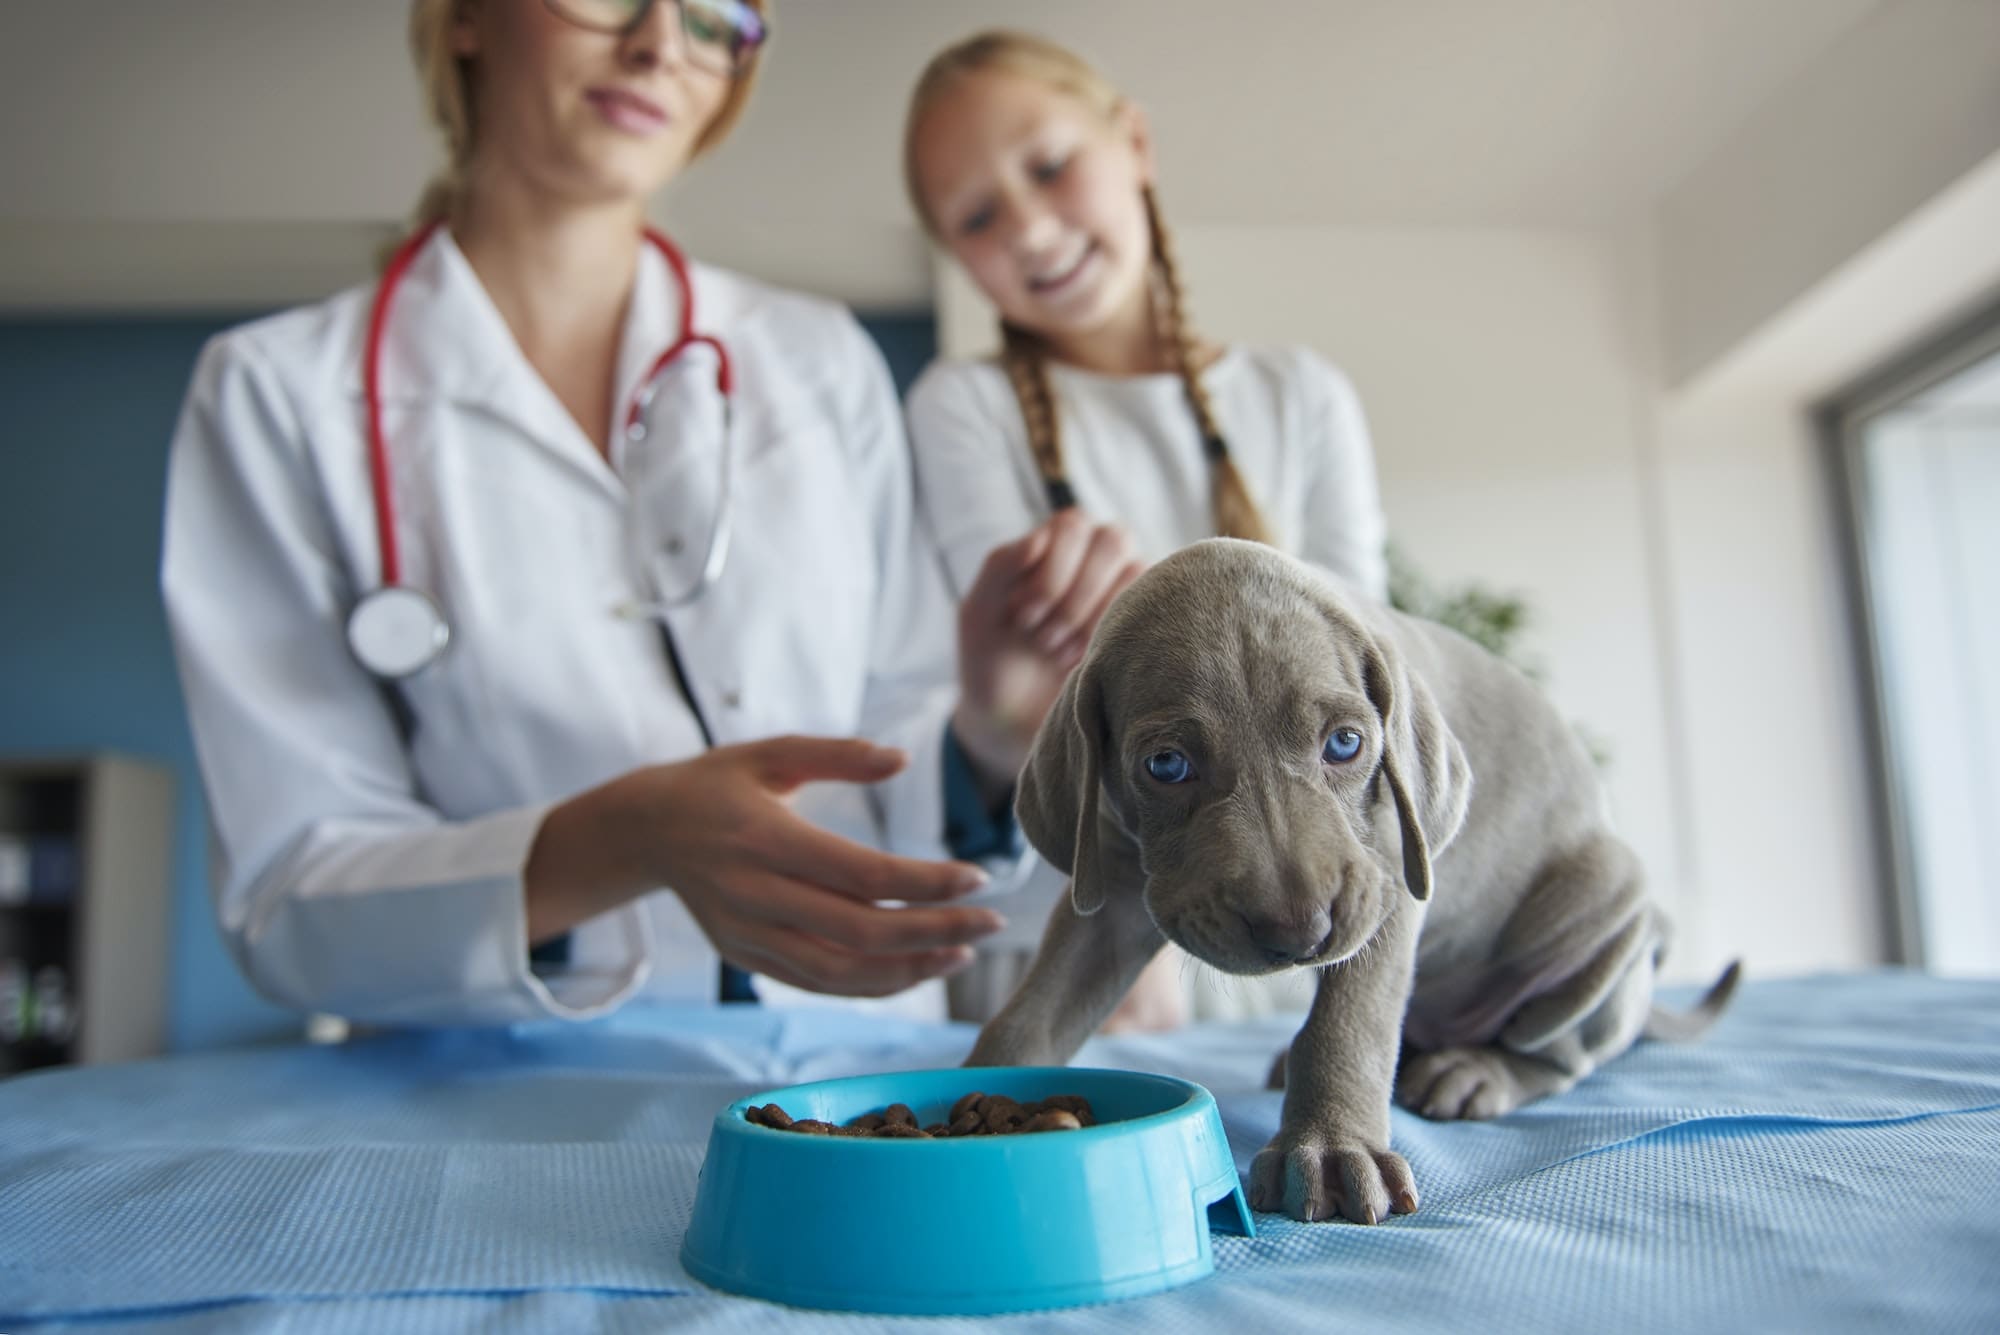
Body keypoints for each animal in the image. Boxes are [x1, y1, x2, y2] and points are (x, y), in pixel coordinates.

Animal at [964, 539, 1736, 1223]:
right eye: (1166, 764)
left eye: (1345, 743)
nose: (1300, 932)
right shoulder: (1114, 891)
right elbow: (1035, 1010)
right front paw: (977, 1092)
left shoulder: (1387, 881)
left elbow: (1350, 1020)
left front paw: (1333, 1149)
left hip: (1607, 913)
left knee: (1560, 1050)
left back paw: (1476, 1072)